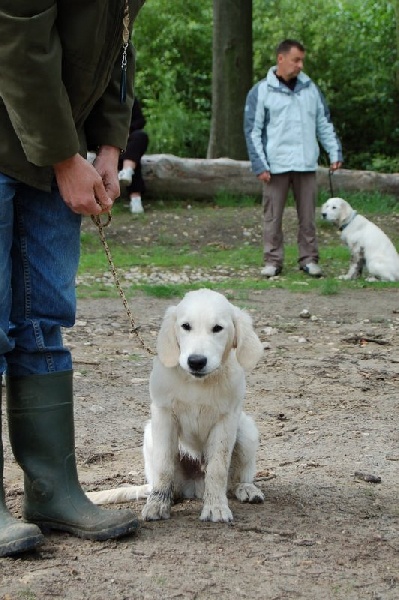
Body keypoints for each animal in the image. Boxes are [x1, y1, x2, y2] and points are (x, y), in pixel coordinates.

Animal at [89, 288, 268, 524]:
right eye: (185, 326)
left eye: (217, 328)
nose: (196, 361)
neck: (196, 382)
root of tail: (195, 488)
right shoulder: (163, 415)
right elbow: (164, 465)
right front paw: (157, 505)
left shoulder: (226, 420)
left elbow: (218, 468)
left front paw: (216, 506)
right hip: (150, 434)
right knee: (162, 481)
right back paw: (166, 496)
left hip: (247, 431)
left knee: (233, 479)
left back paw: (246, 488)